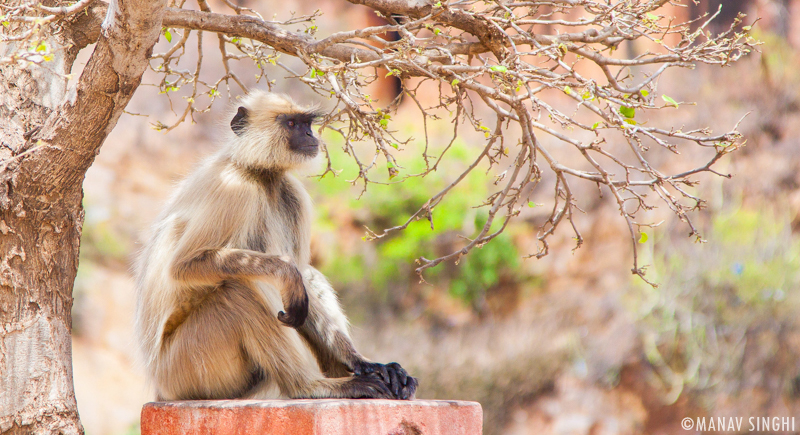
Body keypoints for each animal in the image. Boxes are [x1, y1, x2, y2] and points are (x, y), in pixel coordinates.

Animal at [134, 91, 416, 402]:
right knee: (239, 291)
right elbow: (185, 266)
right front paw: (286, 273)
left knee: (304, 280)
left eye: (306, 123)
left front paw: (364, 362)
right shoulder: (234, 189)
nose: (310, 134)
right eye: (291, 123)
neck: (258, 173)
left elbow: (303, 284)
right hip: (188, 367)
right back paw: (309, 387)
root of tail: (160, 387)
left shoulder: (292, 194)